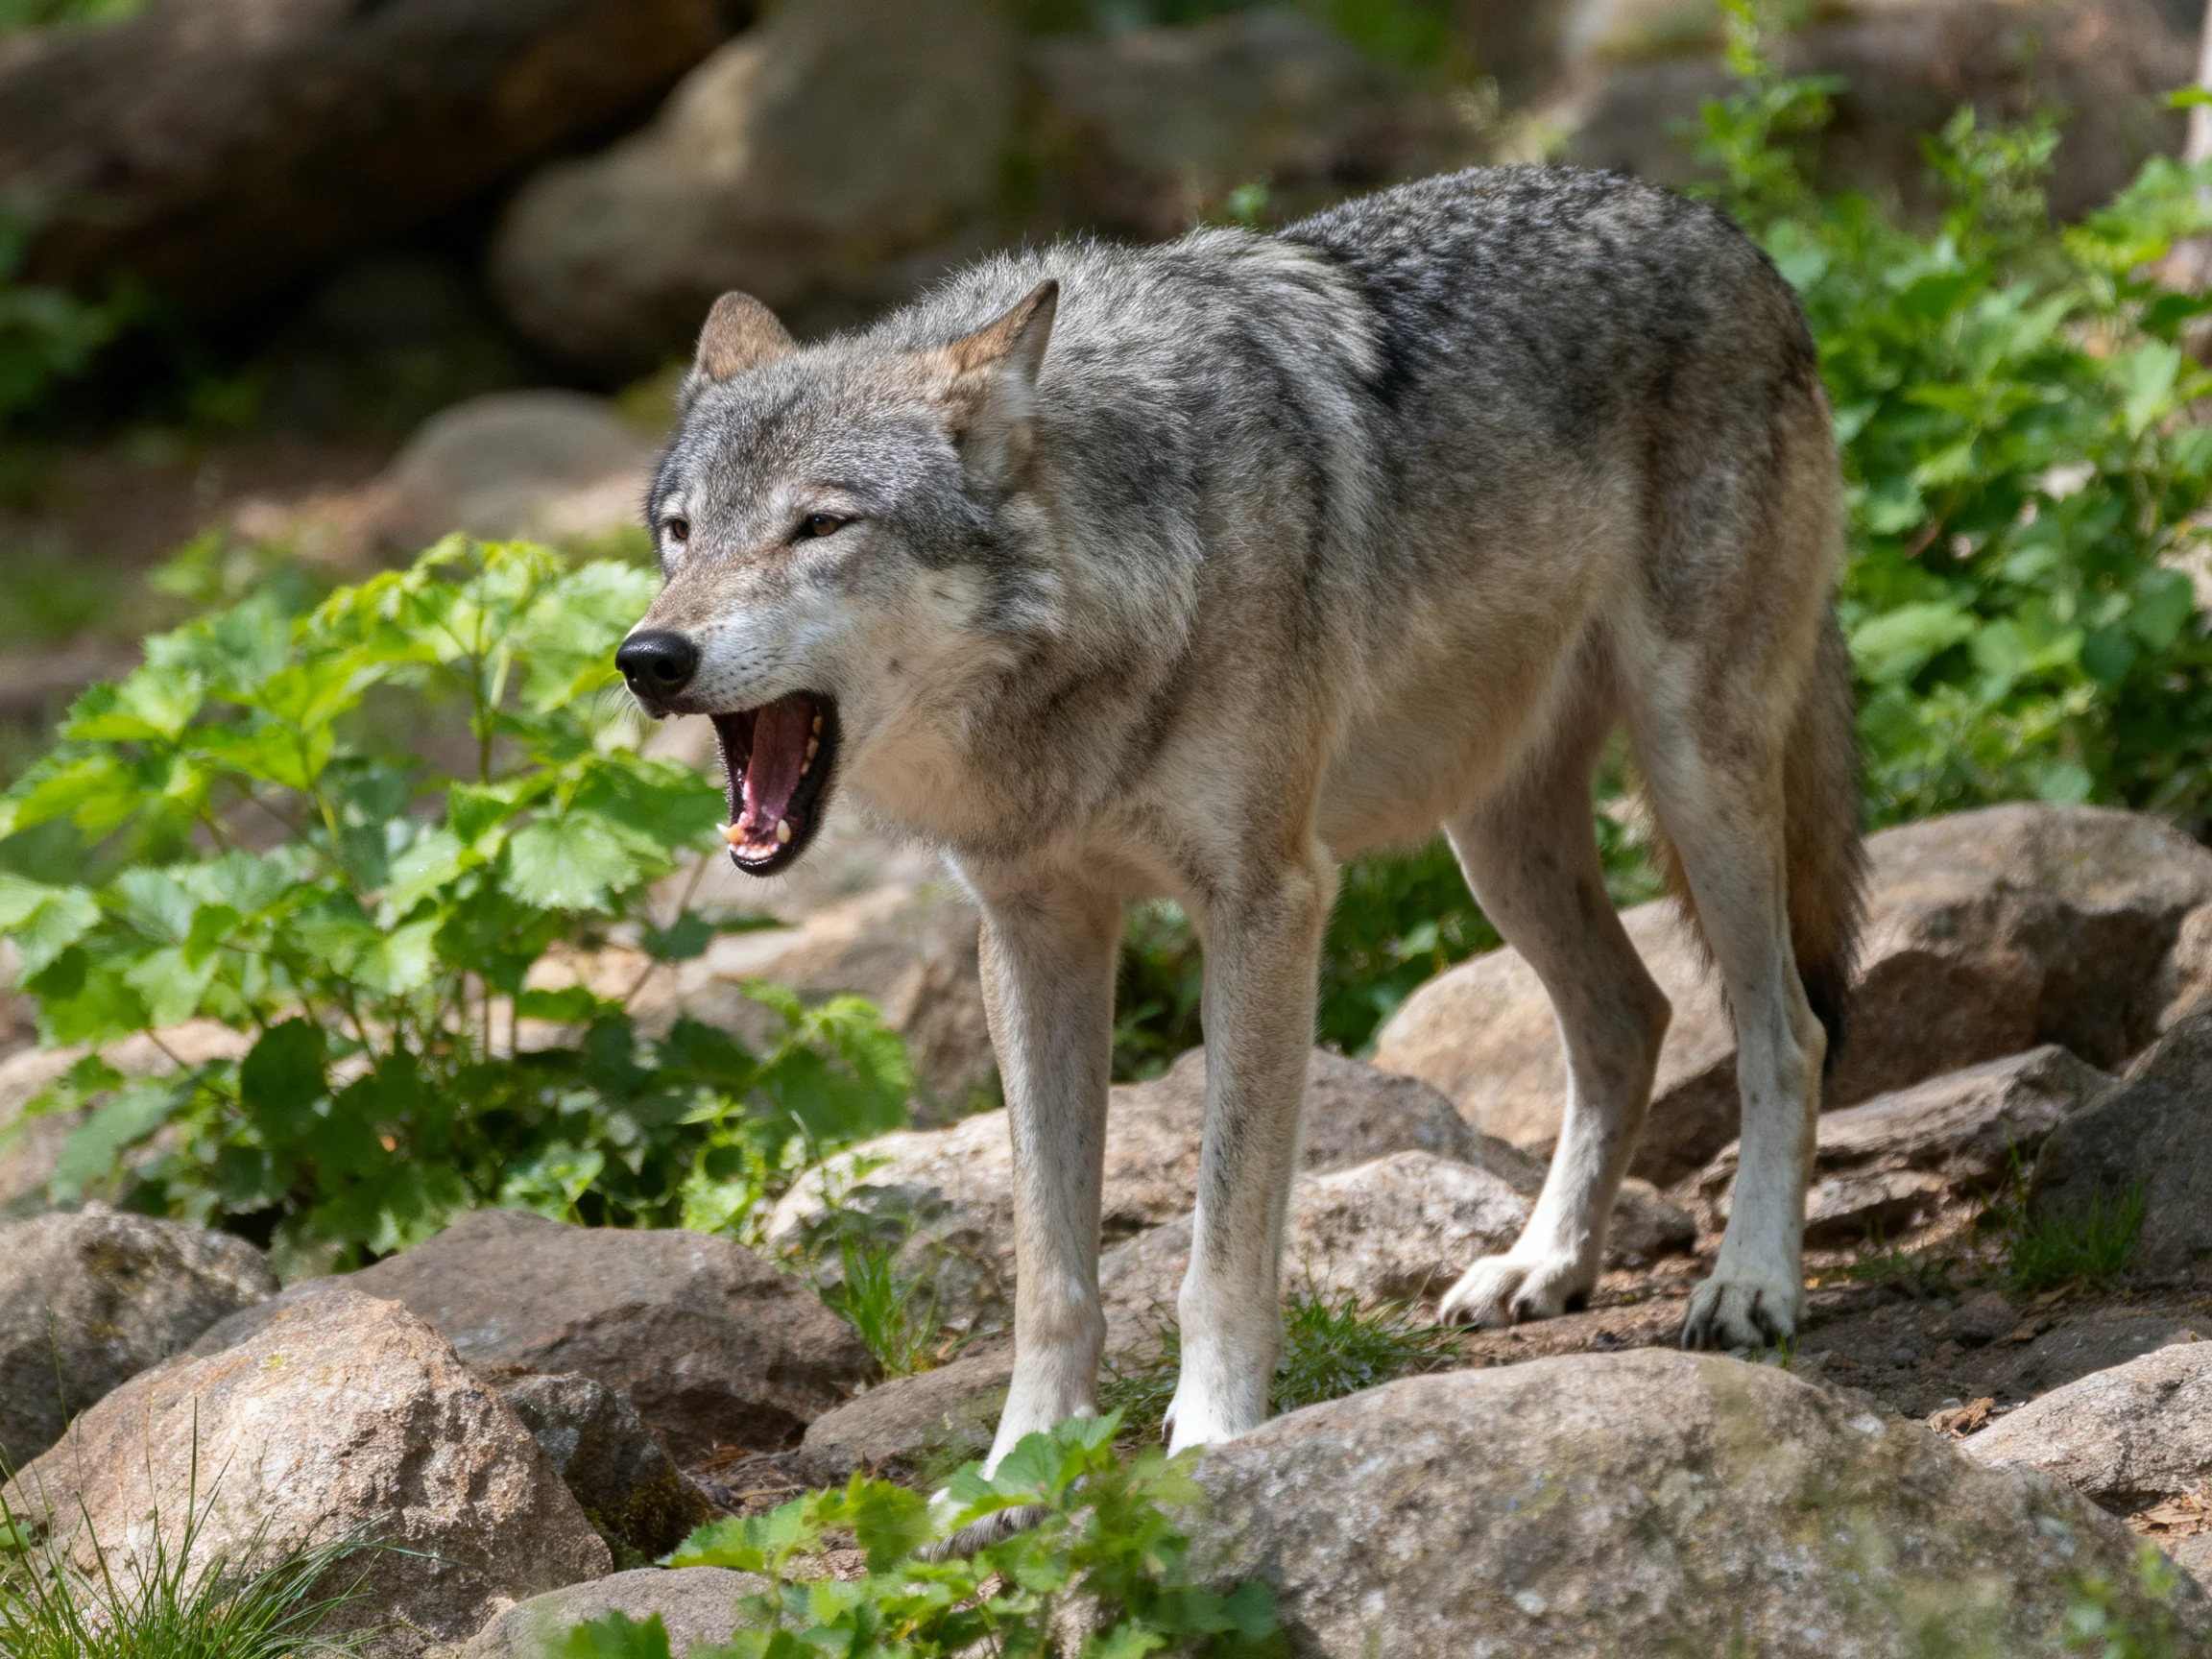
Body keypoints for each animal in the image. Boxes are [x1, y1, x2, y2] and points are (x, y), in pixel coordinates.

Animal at [616, 164, 1864, 1473]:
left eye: (820, 525)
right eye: (680, 532)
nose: (648, 659)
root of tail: (1721, 228)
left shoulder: (1268, 905)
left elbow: (1222, 1246)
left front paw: (1214, 1442)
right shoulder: (1032, 937)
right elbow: (1048, 1272)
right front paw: (1020, 1467)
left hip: (1693, 773)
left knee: (1786, 1030)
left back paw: (1751, 1286)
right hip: (1495, 847)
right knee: (1633, 1018)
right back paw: (1545, 1265)